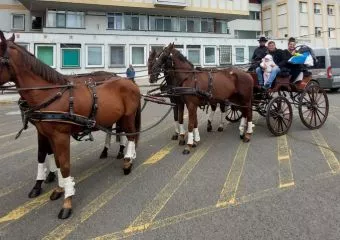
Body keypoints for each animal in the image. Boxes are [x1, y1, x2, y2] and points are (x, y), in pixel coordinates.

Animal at [0, 31, 141, 219]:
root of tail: (128, 81)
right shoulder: (45, 133)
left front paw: (67, 201)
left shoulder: (60, 136)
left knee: (131, 135)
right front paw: (57, 187)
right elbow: (53, 159)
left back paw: (127, 160)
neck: (50, 94)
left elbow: (65, 165)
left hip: (128, 116)